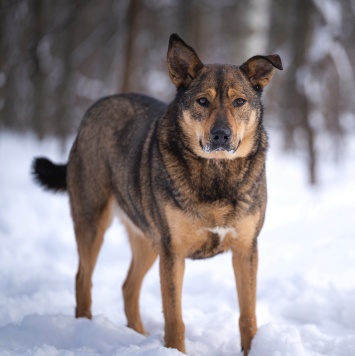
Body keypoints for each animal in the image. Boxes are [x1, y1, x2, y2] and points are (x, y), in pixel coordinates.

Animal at [33, 32, 284, 354]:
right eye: (203, 101)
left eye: (239, 102)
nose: (221, 135)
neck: (216, 175)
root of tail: (97, 105)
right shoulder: (173, 251)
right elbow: (175, 319)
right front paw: (174, 349)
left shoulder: (245, 249)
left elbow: (247, 316)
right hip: (94, 223)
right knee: (82, 280)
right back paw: (85, 329)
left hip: (148, 241)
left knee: (127, 288)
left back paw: (139, 336)